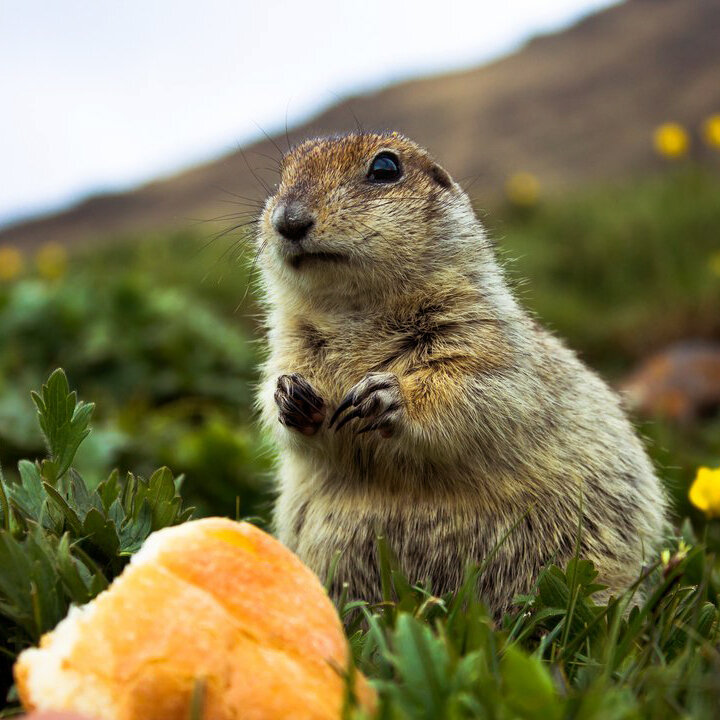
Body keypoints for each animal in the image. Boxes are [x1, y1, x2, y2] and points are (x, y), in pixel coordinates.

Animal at [255, 132, 668, 616]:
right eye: (281, 177)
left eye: (385, 168)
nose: (288, 220)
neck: (354, 310)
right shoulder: (287, 344)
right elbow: (274, 399)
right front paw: (292, 397)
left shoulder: (480, 330)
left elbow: (485, 384)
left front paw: (387, 396)